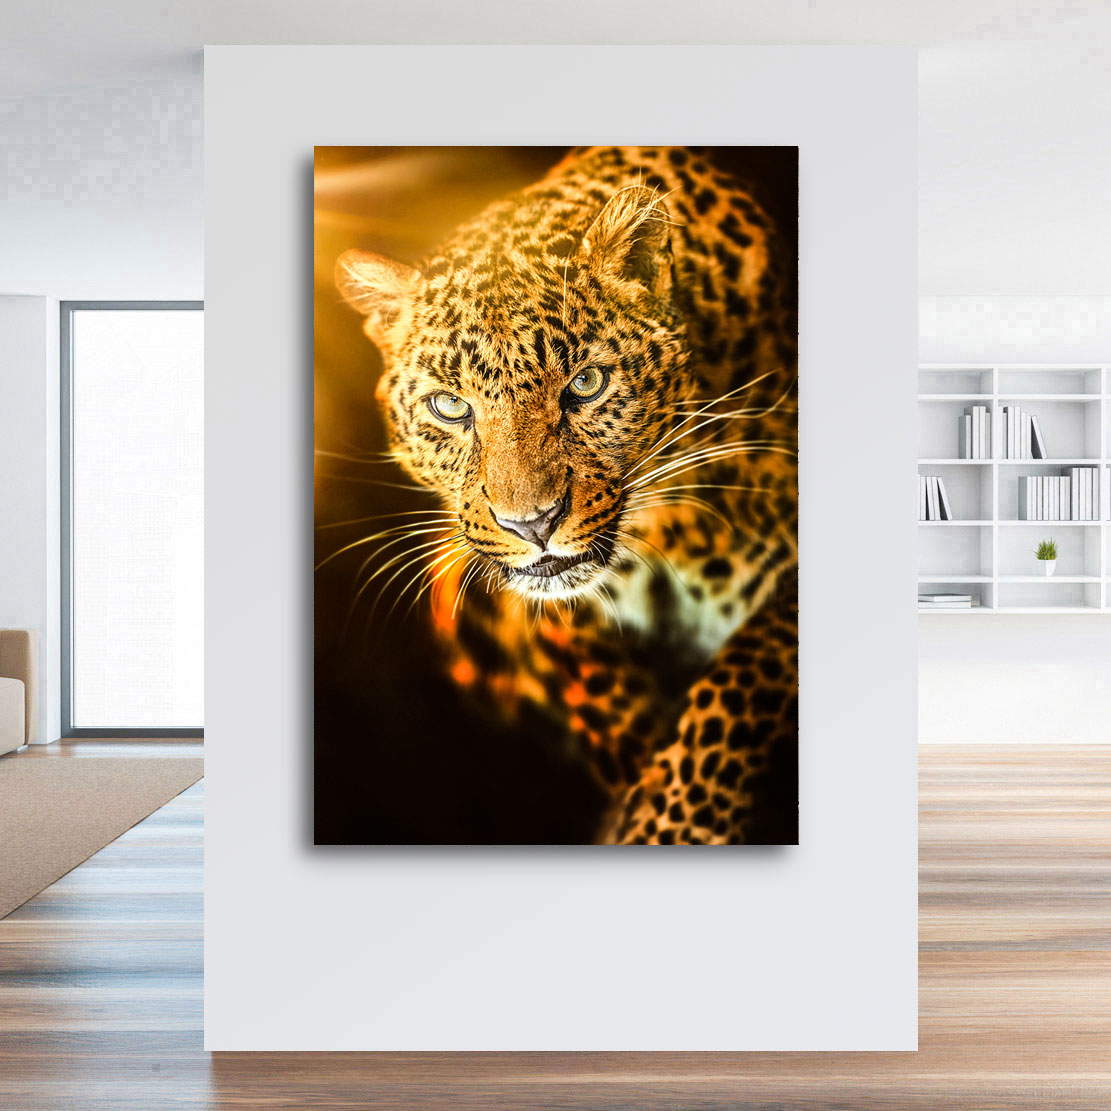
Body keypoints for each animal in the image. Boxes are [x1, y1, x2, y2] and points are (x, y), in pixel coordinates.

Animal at [335, 145, 797, 845]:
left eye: (585, 383)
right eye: (450, 406)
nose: (531, 524)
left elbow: (743, 675)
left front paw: (674, 828)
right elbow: (604, 698)